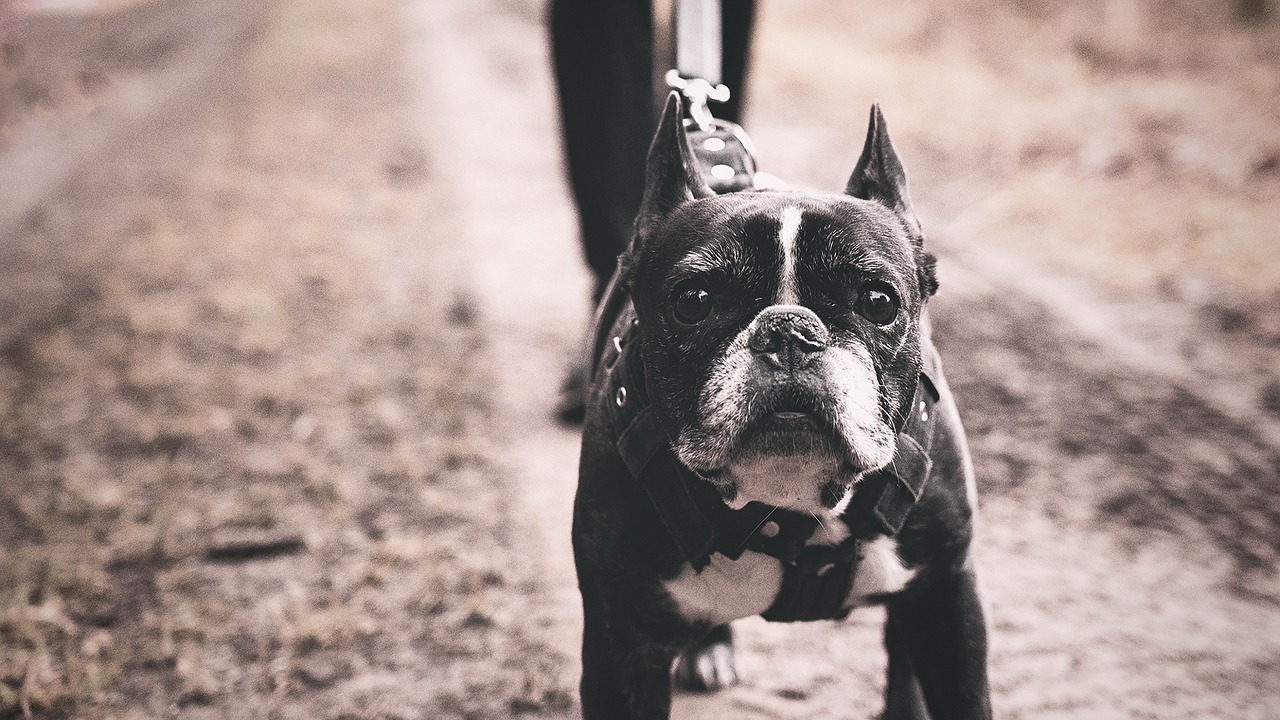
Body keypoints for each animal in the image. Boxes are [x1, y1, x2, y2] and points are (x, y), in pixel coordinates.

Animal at [570, 94, 988, 717]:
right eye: (694, 301)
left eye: (879, 301)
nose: (789, 331)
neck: (792, 506)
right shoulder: (620, 646)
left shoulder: (945, 601)